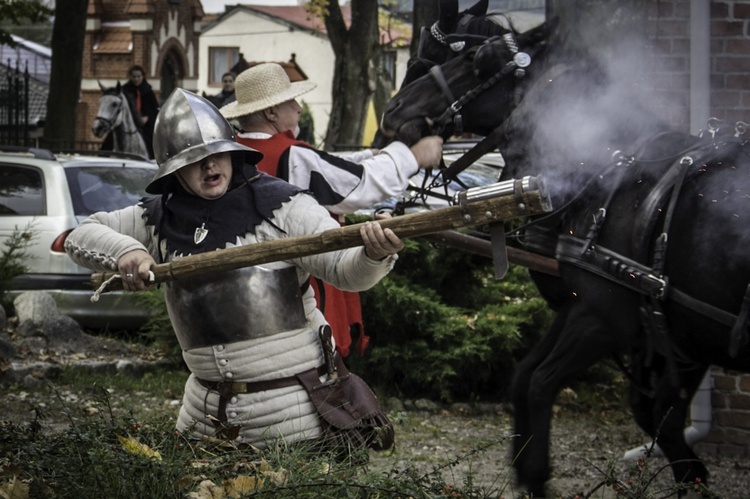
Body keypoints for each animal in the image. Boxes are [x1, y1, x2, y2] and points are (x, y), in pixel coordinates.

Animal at [378, 8, 750, 499]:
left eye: (477, 58)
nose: (392, 111)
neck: (607, 170)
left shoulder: (607, 320)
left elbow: (541, 385)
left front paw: (535, 475)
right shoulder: (640, 326)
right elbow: (530, 380)